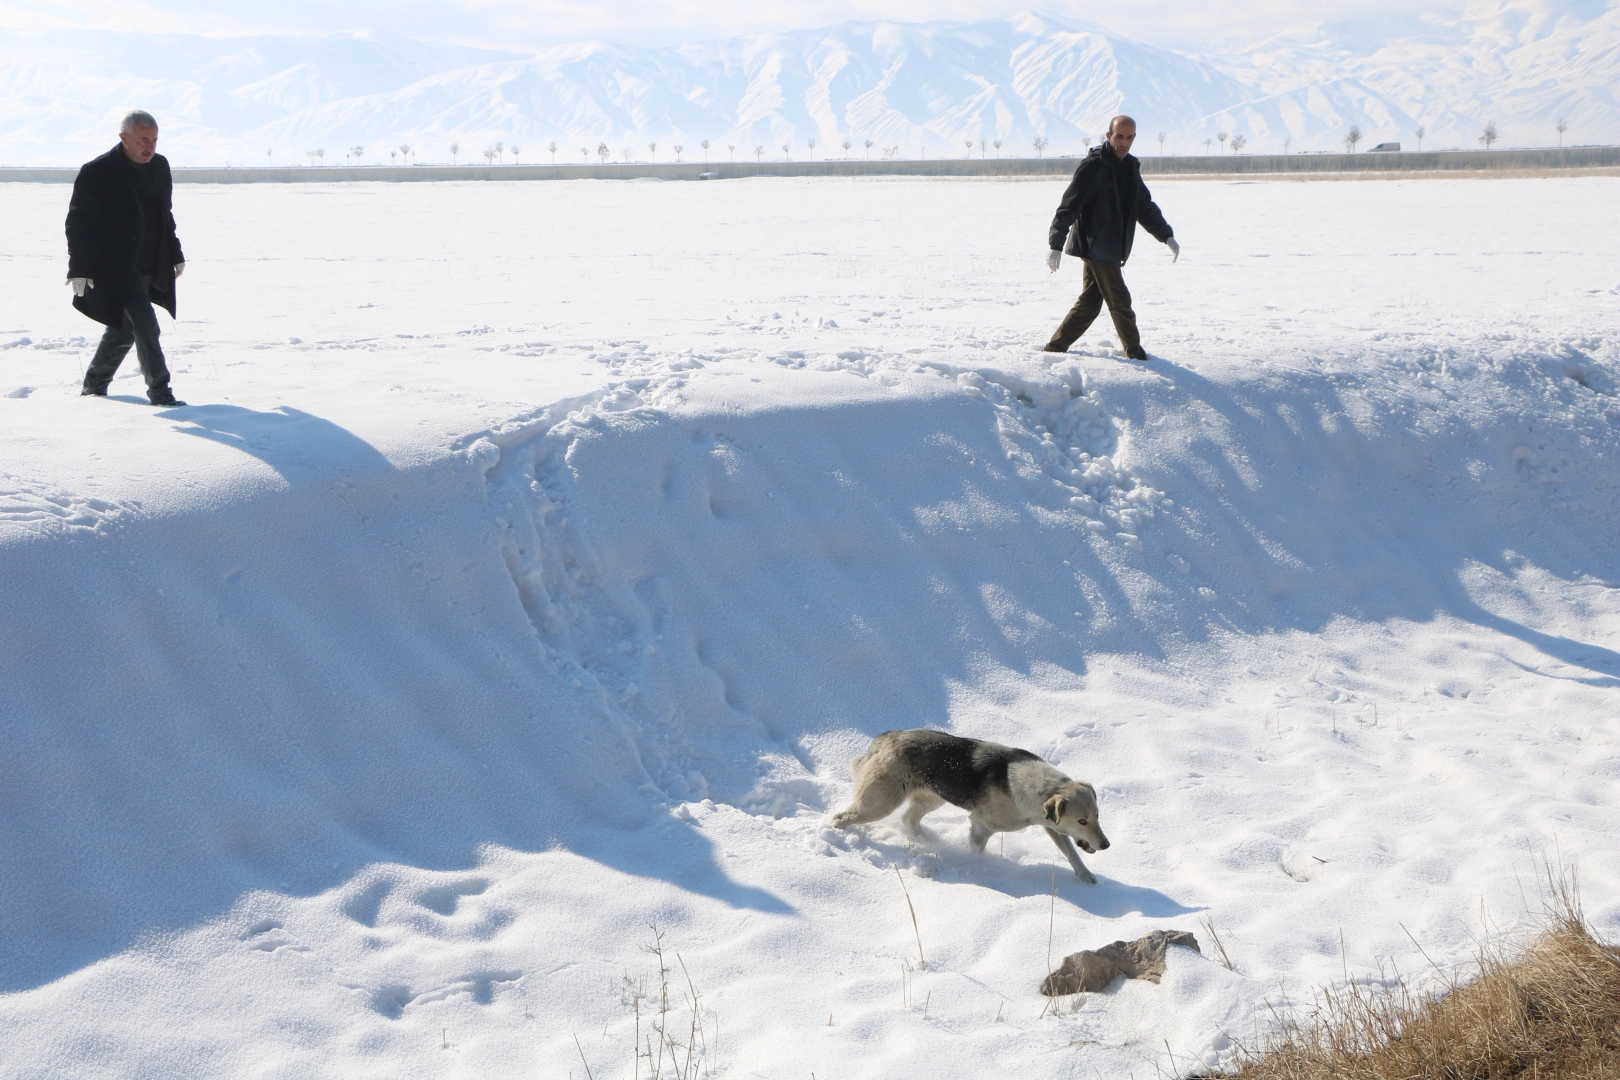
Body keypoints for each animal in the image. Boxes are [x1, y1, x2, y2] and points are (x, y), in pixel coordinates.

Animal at [829, 731, 1108, 880]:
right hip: (879, 804)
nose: (1106, 845)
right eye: (1082, 821)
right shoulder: (981, 826)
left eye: (1097, 815)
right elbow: (978, 850)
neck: (1039, 789)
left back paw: (930, 841)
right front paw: (979, 868)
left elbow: (1071, 852)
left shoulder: (1051, 826)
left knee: (909, 819)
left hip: (933, 797)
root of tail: (886, 737)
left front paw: (1085, 876)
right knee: (841, 817)